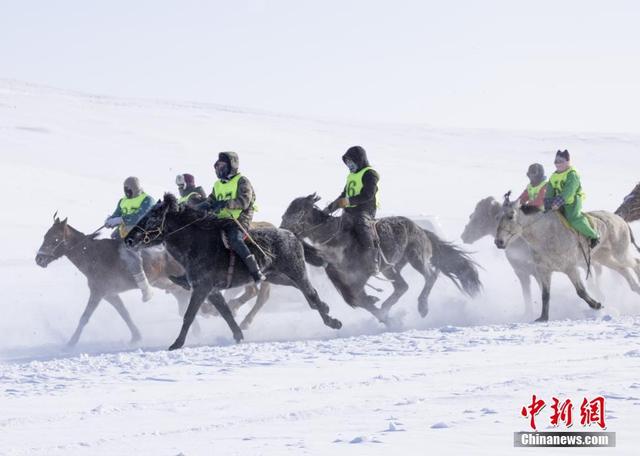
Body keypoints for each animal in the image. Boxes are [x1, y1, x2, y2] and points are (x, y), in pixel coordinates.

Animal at [37, 216, 198, 348]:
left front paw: (71, 343)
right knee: (184, 301)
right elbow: (124, 313)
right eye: (45, 236)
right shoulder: (110, 294)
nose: (39, 259)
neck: (92, 255)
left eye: (55, 238)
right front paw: (136, 336)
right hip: (167, 283)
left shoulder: (98, 292)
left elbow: (84, 317)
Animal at [496, 199, 640, 320]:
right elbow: (545, 295)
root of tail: (620, 219)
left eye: (510, 216)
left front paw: (597, 305)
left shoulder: (570, 268)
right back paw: (636, 287)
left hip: (620, 253)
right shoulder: (543, 271)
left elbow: (581, 291)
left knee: (635, 263)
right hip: (604, 257)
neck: (546, 235)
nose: (498, 242)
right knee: (623, 269)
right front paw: (543, 318)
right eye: (498, 218)